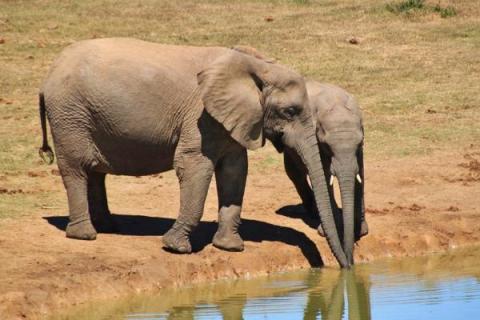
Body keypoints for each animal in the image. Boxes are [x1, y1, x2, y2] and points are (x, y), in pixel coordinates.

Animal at [38, 37, 348, 268]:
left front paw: (229, 247)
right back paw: (85, 235)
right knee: (76, 169)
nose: (346, 266)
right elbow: (194, 166)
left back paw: (108, 227)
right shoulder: (200, 117)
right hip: (69, 114)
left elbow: (235, 171)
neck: (255, 66)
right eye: (290, 111)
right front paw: (175, 248)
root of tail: (49, 73)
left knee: (95, 172)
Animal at [282, 80, 368, 264]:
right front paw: (329, 230)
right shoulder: (315, 139)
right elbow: (324, 174)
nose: (349, 263)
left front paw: (361, 230)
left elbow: (361, 173)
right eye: (328, 146)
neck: (337, 105)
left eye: (358, 143)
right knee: (294, 171)